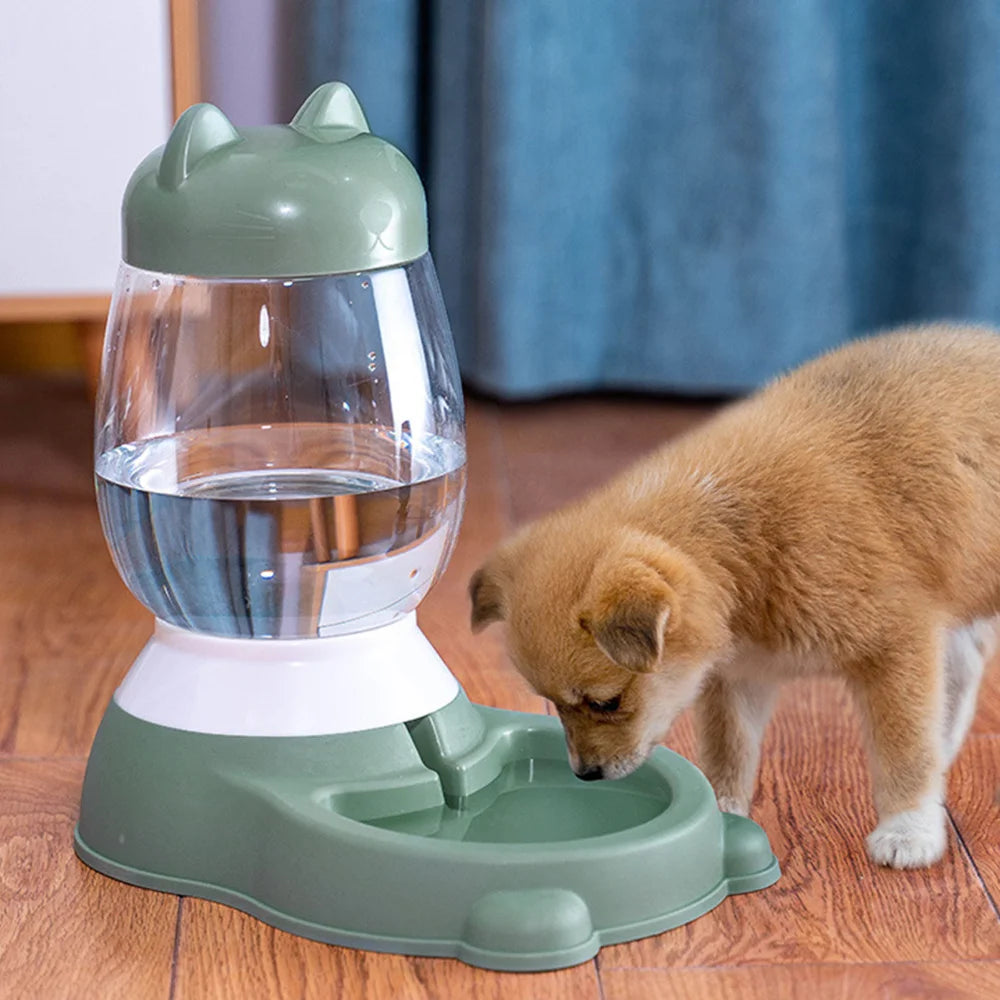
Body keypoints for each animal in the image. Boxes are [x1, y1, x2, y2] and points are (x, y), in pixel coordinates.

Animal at [470, 326, 1000, 868]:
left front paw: (908, 830)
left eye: (606, 702)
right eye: (552, 704)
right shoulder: (736, 679)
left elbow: (903, 752)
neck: (740, 542)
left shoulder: (896, 647)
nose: (585, 774)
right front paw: (721, 813)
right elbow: (729, 755)